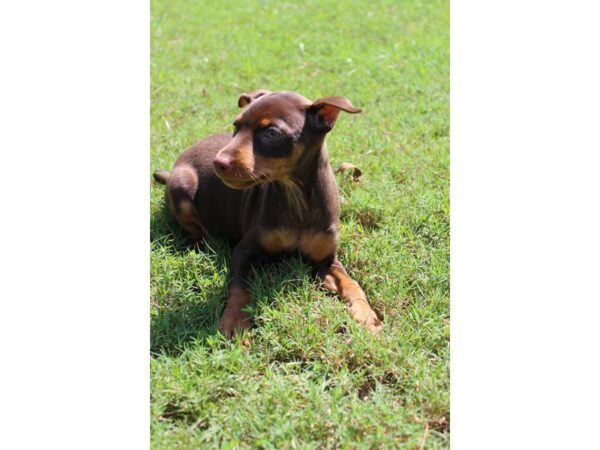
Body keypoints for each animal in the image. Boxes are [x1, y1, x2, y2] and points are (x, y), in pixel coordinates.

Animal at [152, 89, 382, 338]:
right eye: (236, 125)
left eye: (272, 133)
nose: (217, 162)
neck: (295, 196)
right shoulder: (243, 251)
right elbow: (239, 288)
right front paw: (234, 321)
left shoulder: (327, 259)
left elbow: (351, 283)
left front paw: (366, 314)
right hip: (182, 188)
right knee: (194, 231)